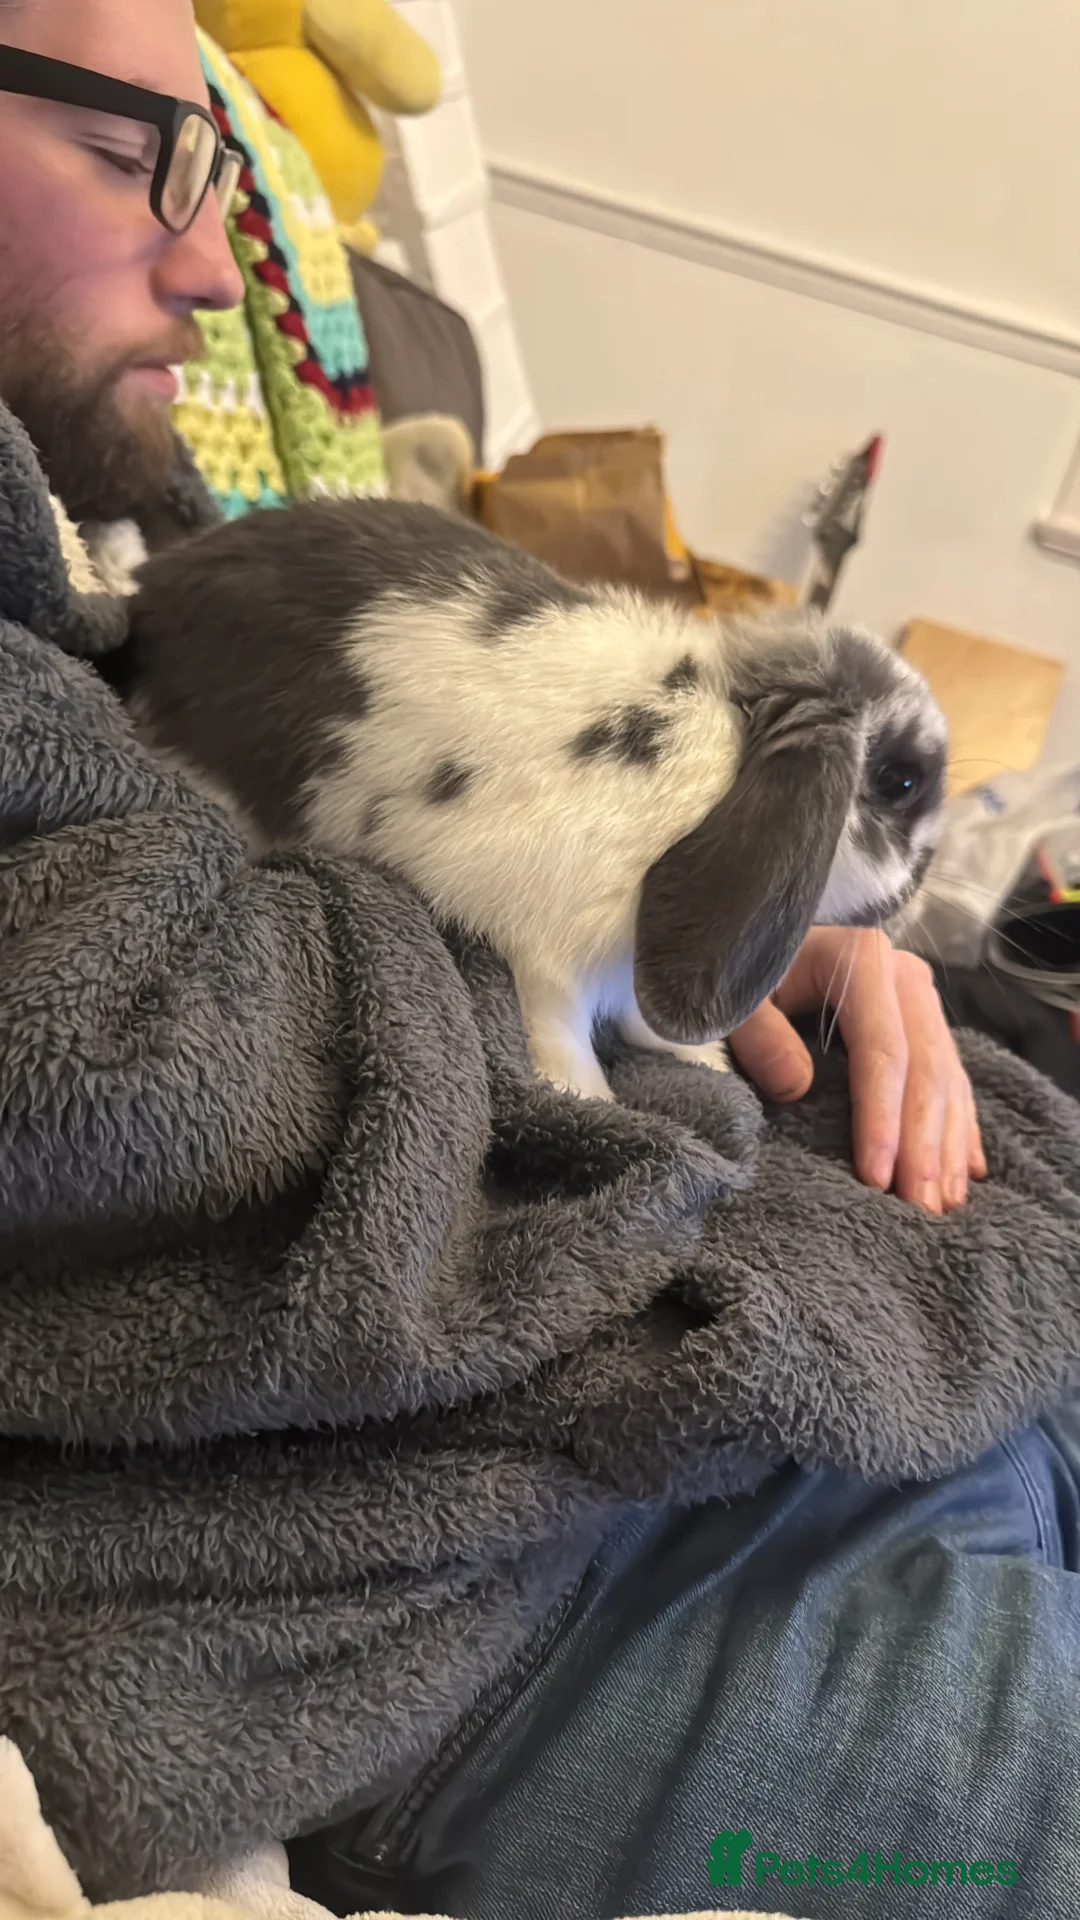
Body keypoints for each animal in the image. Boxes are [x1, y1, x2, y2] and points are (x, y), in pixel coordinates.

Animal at [117, 497, 947, 1101]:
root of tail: (150, 598)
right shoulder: (550, 954)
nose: (918, 896)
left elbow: (644, 1018)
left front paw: (705, 1059)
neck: (725, 767)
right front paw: (589, 1101)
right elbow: (561, 1030)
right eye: (900, 782)